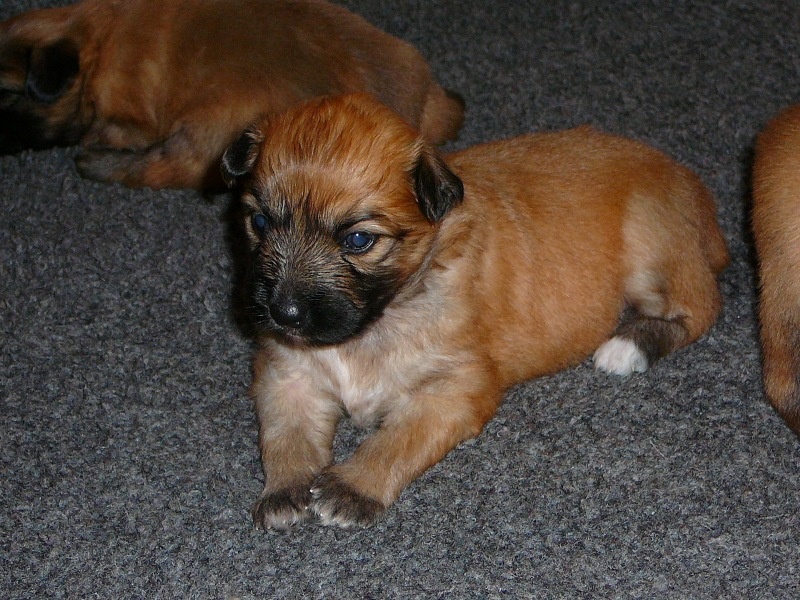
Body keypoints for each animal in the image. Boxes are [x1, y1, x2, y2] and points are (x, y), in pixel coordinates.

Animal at [220, 93, 730, 529]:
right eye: (259, 221)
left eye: (358, 240)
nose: (283, 314)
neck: (381, 319)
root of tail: (690, 185)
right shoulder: (286, 373)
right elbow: (285, 435)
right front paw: (284, 490)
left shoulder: (456, 387)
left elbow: (398, 439)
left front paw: (352, 486)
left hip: (650, 247)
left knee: (700, 309)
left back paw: (626, 346)